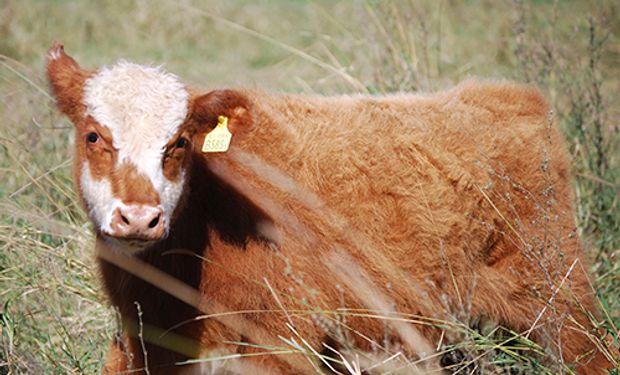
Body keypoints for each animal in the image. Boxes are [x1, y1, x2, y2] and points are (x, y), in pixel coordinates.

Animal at [46, 42, 612, 374]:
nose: (139, 217)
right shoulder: (141, 344)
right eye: (93, 135)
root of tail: (506, 97)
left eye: (180, 142)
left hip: (560, 299)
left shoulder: (284, 339)